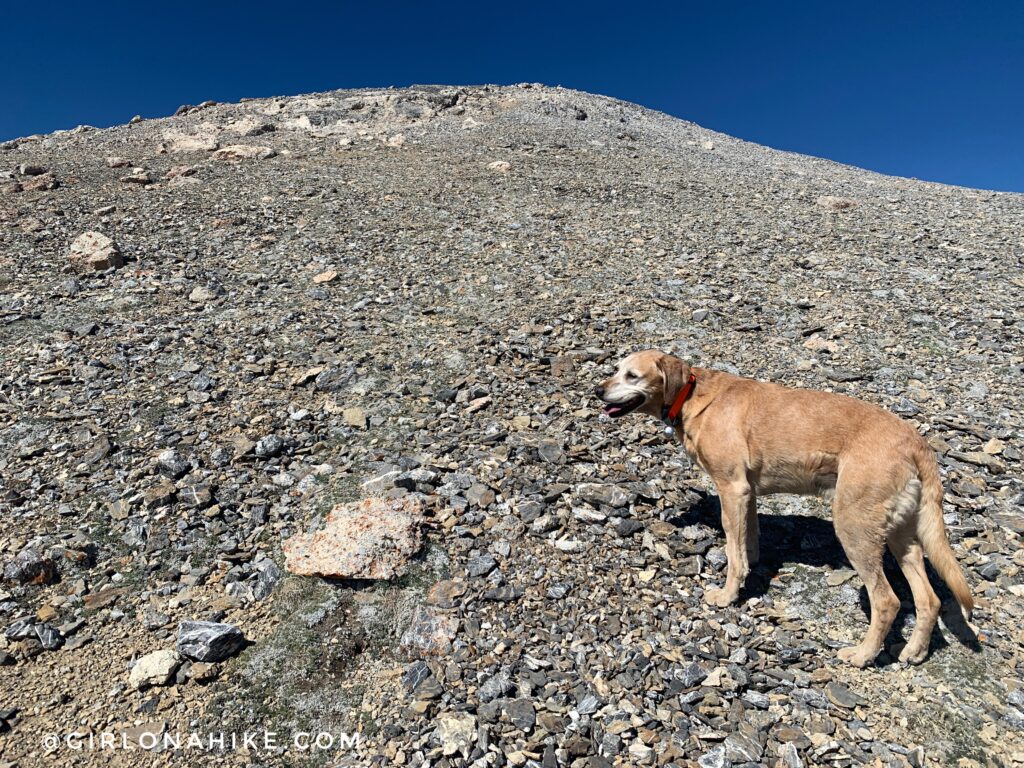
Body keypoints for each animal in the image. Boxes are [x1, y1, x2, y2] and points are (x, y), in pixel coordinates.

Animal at [598, 350, 974, 667]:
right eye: (615, 369)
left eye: (631, 375)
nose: (598, 390)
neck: (693, 395)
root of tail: (917, 443)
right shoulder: (747, 493)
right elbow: (748, 539)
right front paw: (751, 568)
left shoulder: (731, 488)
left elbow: (732, 549)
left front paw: (728, 594)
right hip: (901, 534)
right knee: (929, 599)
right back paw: (914, 651)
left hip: (854, 527)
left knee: (887, 601)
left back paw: (862, 655)